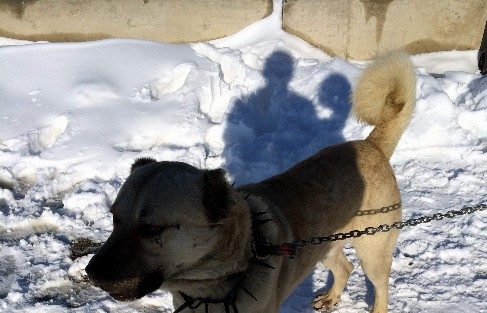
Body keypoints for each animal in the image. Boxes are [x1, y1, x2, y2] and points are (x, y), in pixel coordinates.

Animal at [86, 51, 416, 312]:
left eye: (152, 229)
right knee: (345, 268)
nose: (92, 273)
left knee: (380, 287)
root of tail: (370, 145)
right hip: (325, 245)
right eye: (115, 218)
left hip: (373, 250)